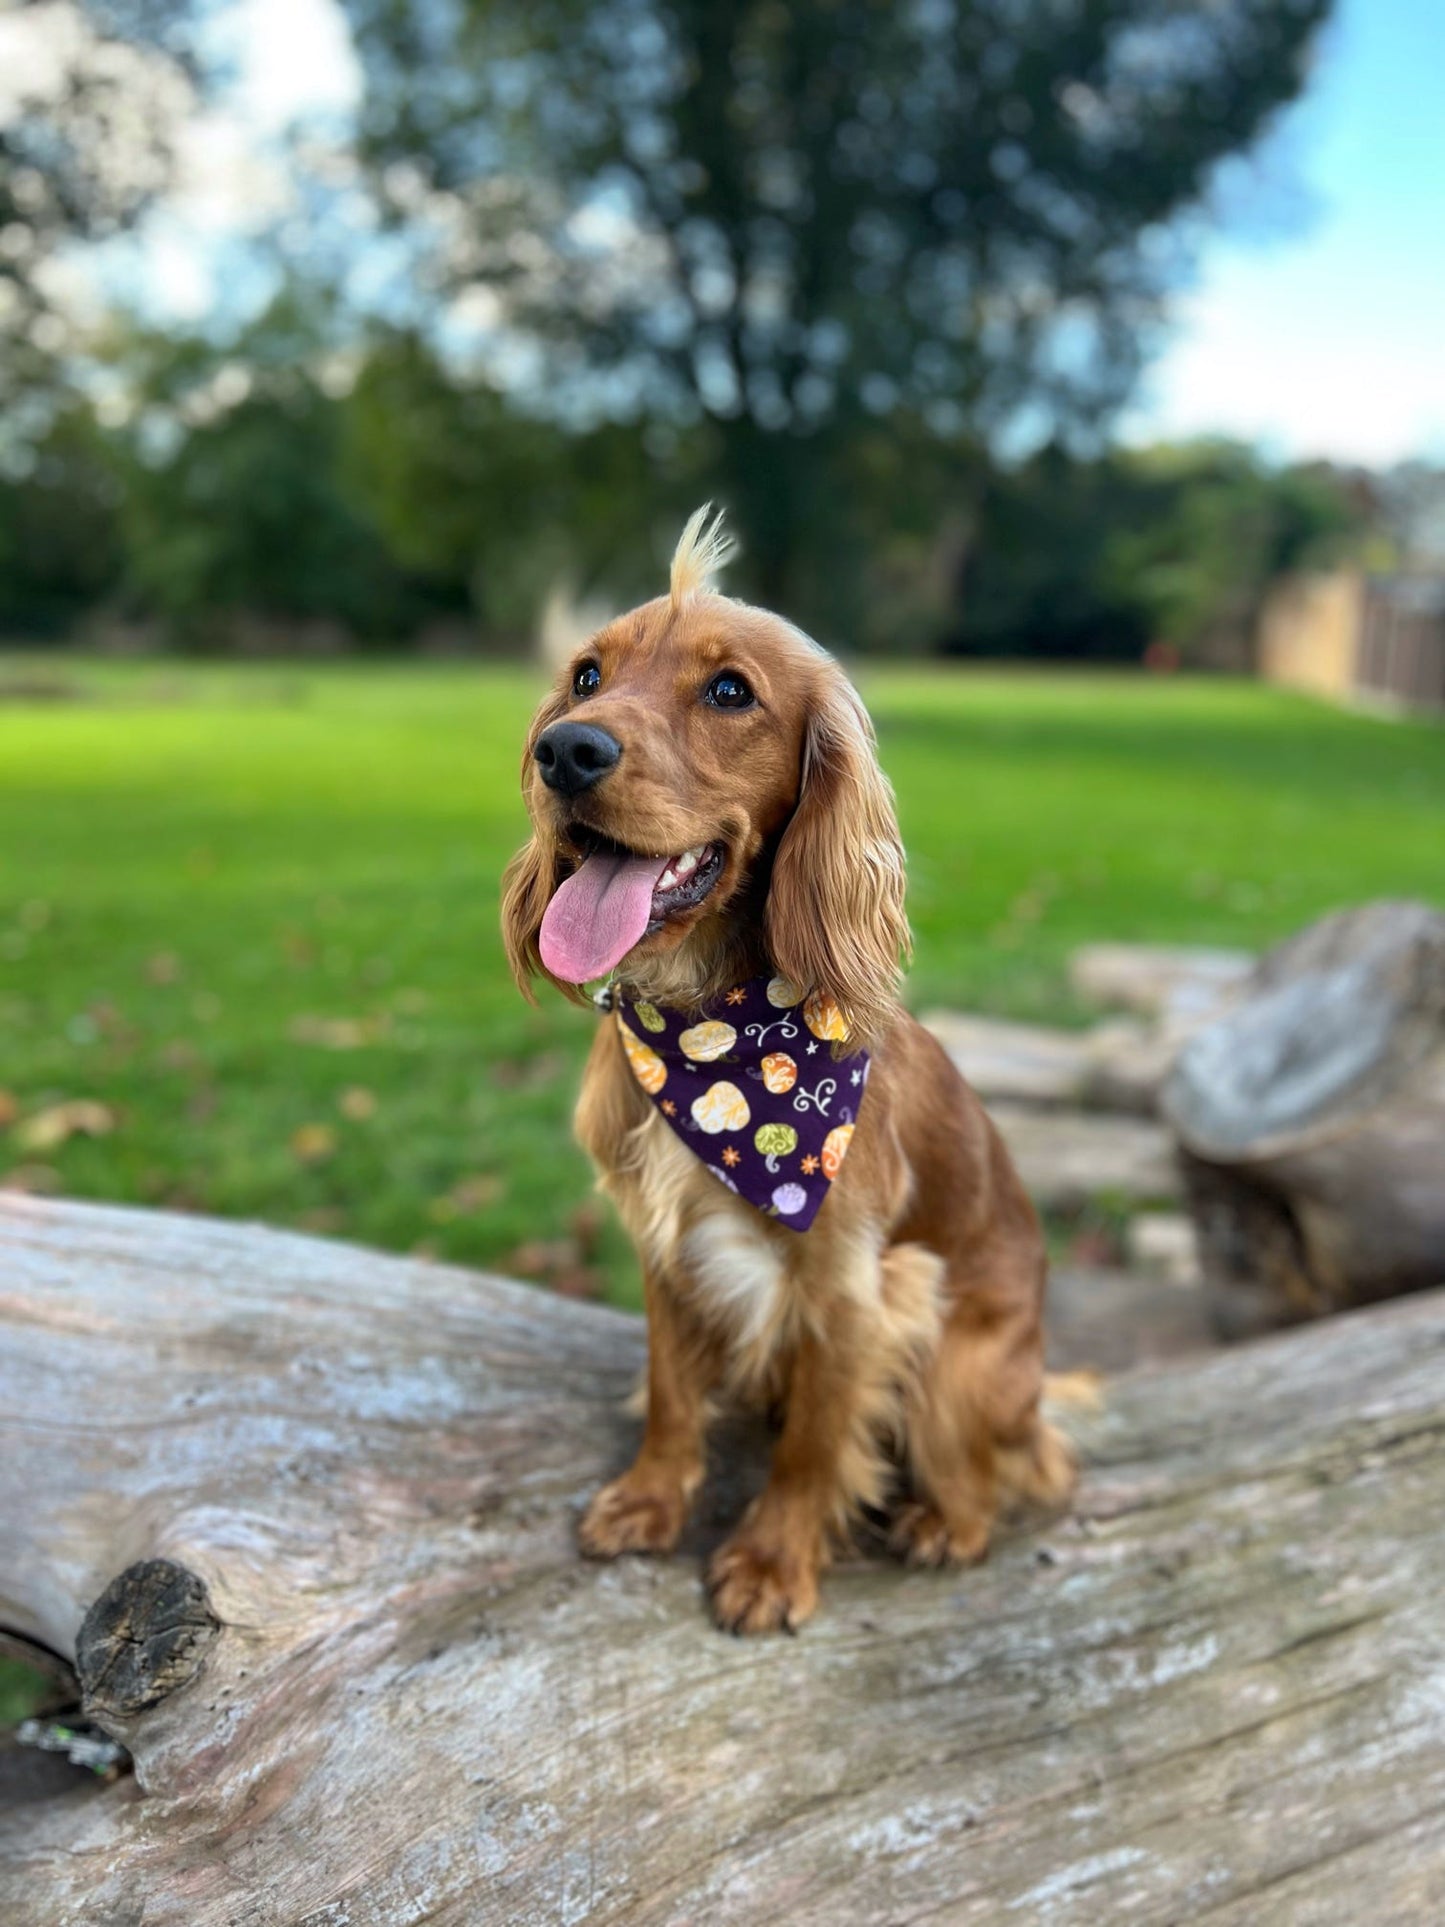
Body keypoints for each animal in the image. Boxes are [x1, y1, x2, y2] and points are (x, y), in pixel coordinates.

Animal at [500, 504, 1078, 1634]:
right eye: (587, 675)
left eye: (730, 691)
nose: (563, 751)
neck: (706, 1029)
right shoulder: (665, 1248)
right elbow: (671, 1391)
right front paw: (650, 1496)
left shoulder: (860, 1285)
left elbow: (816, 1439)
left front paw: (771, 1560)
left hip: (962, 1359)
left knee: (998, 1469)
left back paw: (944, 1521)